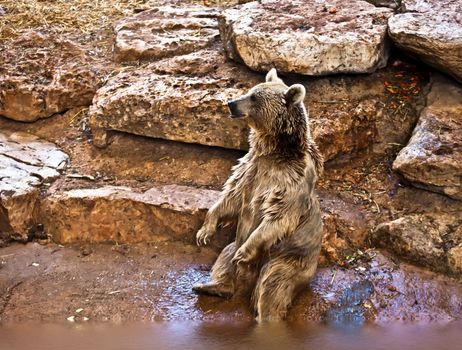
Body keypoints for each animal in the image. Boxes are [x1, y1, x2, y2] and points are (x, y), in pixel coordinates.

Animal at [193, 68, 324, 322]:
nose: (231, 103)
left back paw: (265, 316)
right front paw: (204, 231)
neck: (274, 151)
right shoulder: (250, 168)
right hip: (238, 245)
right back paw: (209, 286)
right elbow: (231, 197)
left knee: (273, 285)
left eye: (254, 97)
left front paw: (243, 253)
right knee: (224, 258)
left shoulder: (290, 180)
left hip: (288, 259)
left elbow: (278, 216)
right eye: (250, 91)